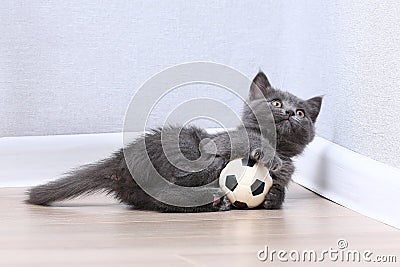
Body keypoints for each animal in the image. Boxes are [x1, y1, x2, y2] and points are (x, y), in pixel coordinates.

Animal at [27, 71, 322, 214]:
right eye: (276, 103)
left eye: (301, 113)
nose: (289, 113)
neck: (278, 144)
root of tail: (120, 162)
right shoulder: (229, 138)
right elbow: (247, 139)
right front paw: (270, 157)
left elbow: (277, 193)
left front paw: (273, 195)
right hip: (191, 148)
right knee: (170, 187)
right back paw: (212, 199)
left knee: (155, 200)